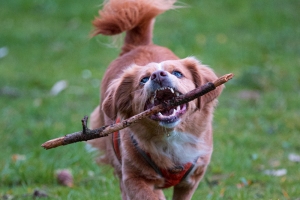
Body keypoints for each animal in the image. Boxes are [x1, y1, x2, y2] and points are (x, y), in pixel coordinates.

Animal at [88, 0, 224, 199]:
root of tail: (138, 45)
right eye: (143, 79)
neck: (170, 136)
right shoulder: (135, 178)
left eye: (178, 73)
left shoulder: (191, 179)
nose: (158, 75)